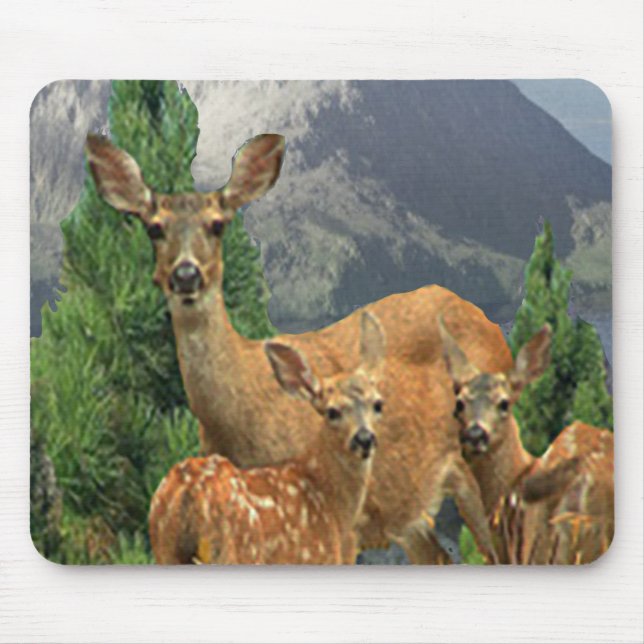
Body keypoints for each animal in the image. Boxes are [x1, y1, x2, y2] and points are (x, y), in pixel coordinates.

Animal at [149, 312, 384, 564]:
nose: (364, 438)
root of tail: (189, 494)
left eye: (378, 404)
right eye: (332, 411)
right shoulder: (319, 556)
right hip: (236, 549)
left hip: (164, 546)